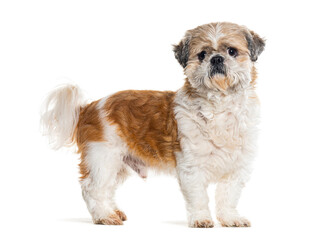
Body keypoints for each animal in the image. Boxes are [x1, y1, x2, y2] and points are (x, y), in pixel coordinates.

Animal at [40, 21, 264, 228]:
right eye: (202, 54)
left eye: (232, 51)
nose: (216, 58)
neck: (219, 107)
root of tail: (88, 107)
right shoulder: (191, 168)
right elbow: (199, 197)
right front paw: (201, 219)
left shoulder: (236, 168)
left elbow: (228, 197)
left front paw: (230, 219)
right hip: (101, 159)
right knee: (91, 188)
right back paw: (104, 216)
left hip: (119, 164)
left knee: (107, 189)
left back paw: (112, 211)